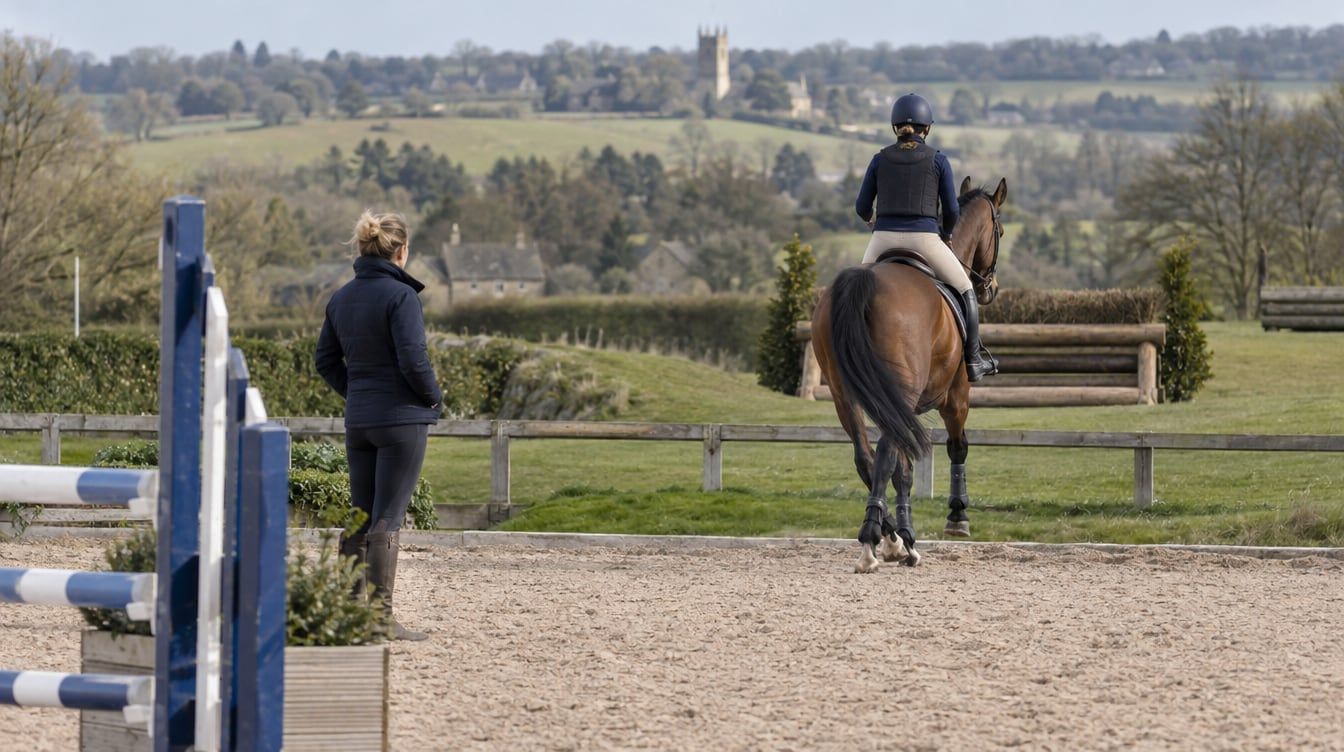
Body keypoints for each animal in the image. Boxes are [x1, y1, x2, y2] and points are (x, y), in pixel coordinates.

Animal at [811, 177, 1006, 573]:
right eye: (1001, 231)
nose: (990, 288)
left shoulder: (899, 407)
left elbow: (903, 469)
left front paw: (902, 536)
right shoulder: (955, 397)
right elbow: (957, 447)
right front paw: (957, 518)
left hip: (845, 395)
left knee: (867, 456)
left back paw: (887, 538)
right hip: (907, 389)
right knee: (884, 452)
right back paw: (876, 540)